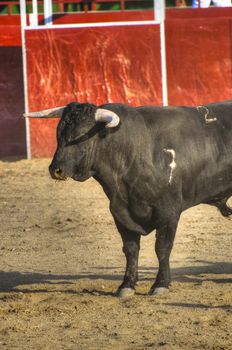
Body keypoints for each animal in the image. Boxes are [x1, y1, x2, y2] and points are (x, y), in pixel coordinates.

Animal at [25, 100, 232, 296]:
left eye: (79, 136)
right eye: (58, 134)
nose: (55, 169)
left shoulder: (168, 212)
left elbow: (162, 248)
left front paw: (161, 284)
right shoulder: (120, 211)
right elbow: (131, 249)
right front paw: (127, 285)